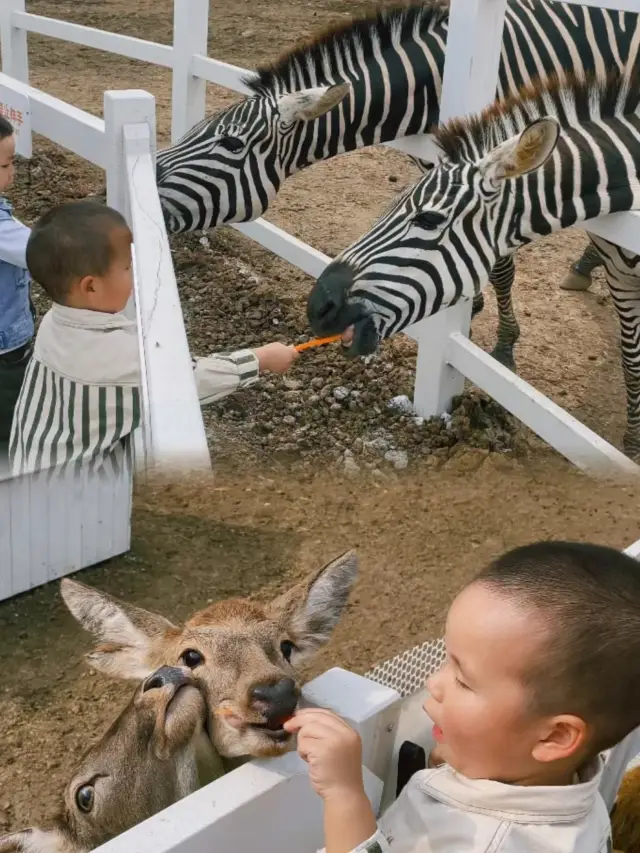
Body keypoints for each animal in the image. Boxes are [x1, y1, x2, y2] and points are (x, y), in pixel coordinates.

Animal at [156, 0, 640, 320]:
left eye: (231, 144)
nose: (144, 181)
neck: (439, 78)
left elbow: (500, 265)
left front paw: (502, 347)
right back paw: (585, 266)